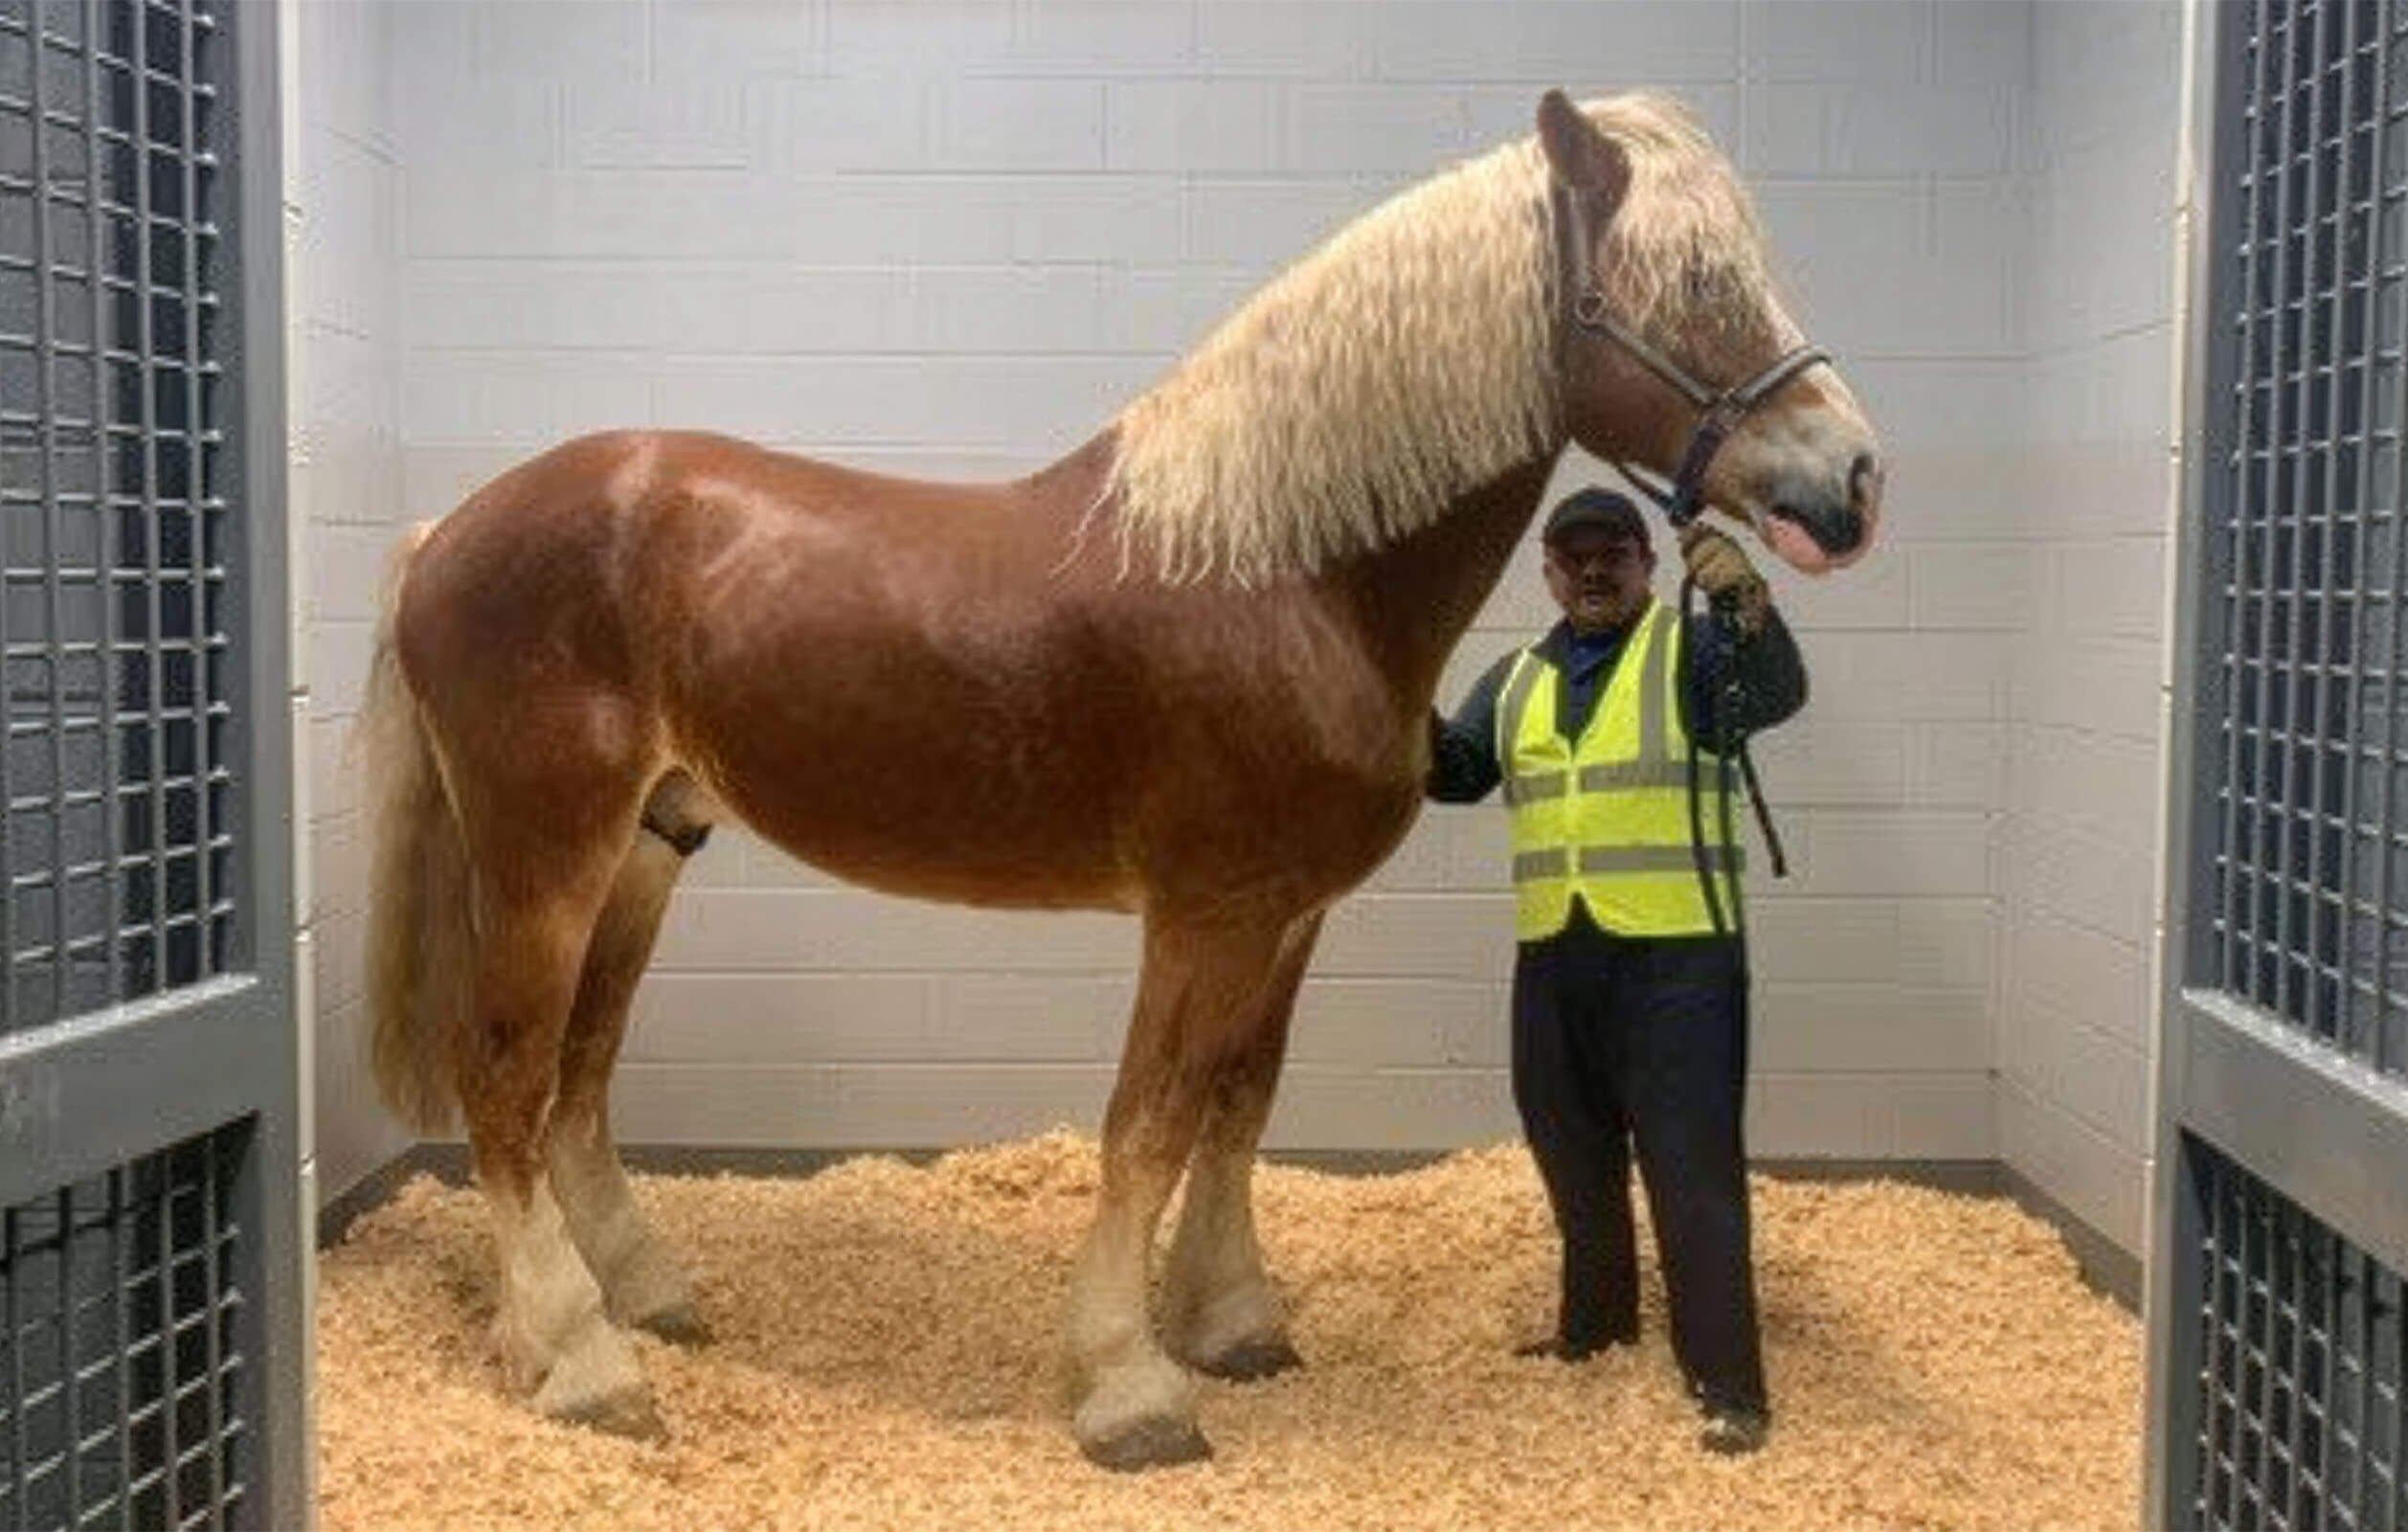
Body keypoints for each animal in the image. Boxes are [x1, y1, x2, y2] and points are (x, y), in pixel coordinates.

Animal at [357, 88, 1883, 1470]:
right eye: (1695, 285)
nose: (1853, 478)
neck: (1282, 574)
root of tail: (448, 534)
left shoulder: (1286, 915)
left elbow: (1236, 1106)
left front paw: (1231, 1324)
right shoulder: (1201, 913)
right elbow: (1145, 1125)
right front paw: (1129, 1387)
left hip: (646, 850)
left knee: (577, 1079)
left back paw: (633, 1301)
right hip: (546, 857)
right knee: (503, 1073)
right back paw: (579, 1363)